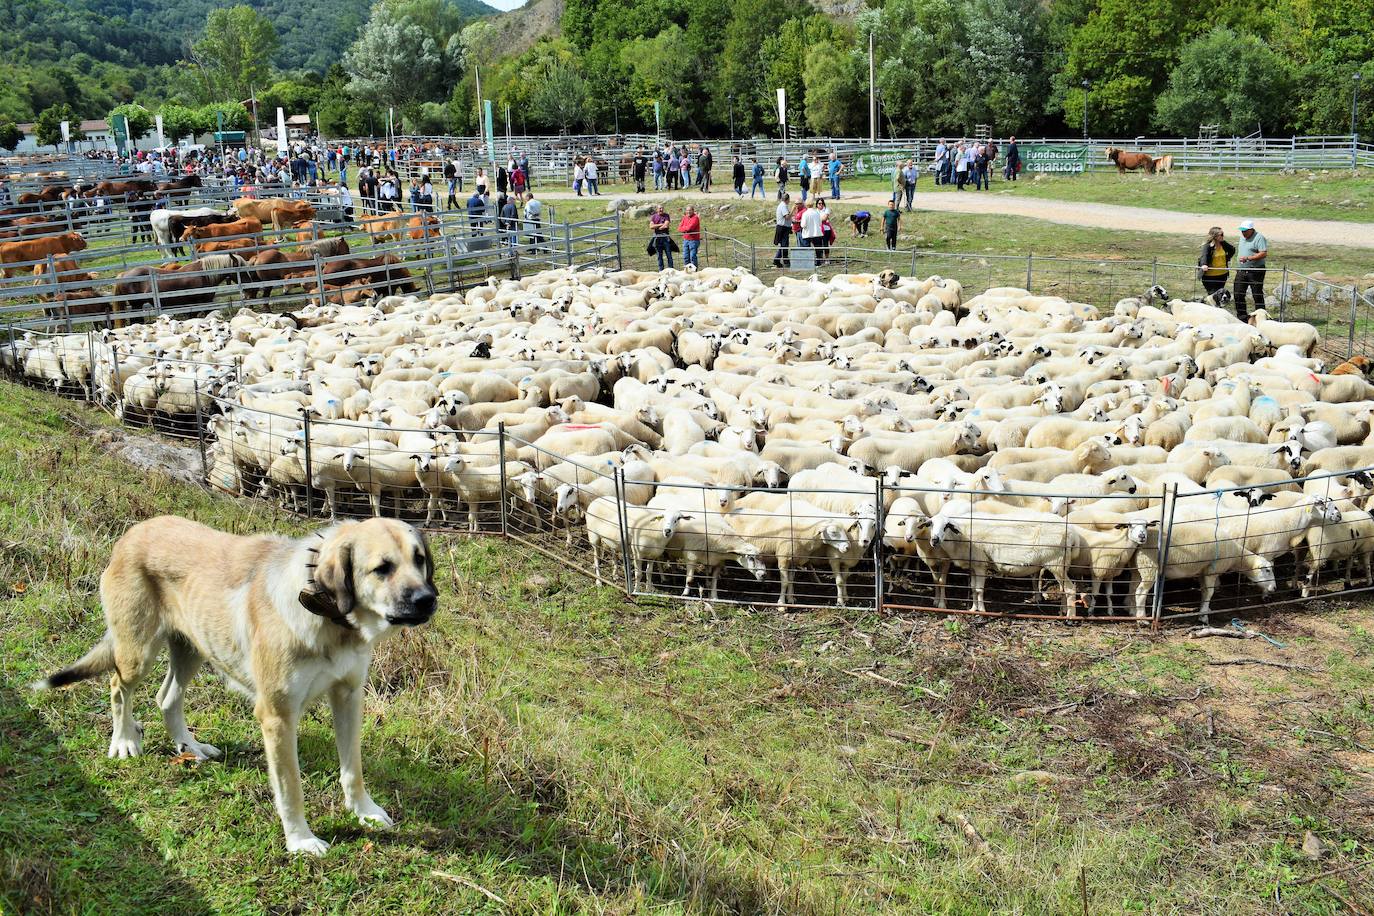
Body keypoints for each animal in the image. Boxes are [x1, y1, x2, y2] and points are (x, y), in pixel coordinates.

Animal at [37, 516, 436, 851]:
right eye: (382, 569)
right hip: (138, 653)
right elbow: (291, 787)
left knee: (166, 698)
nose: (427, 600)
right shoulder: (277, 717)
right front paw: (301, 841)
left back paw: (190, 747)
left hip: (193, 649)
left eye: (419, 560)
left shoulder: (348, 697)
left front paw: (364, 811)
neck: (330, 620)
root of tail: (133, 532)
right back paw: (123, 741)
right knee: (118, 687)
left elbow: (353, 769)